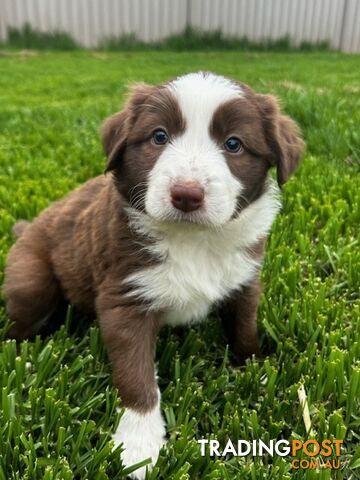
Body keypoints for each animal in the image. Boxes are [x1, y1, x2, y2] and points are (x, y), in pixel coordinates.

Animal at [4, 72, 304, 480]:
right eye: (158, 137)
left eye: (234, 144)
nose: (186, 195)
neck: (193, 240)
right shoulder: (126, 297)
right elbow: (137, 377)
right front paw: (139, 446)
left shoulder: (243, 279)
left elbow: (243, 328)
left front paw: (252, 370)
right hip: (33, 278)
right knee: (19, 325)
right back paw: (26, 360)